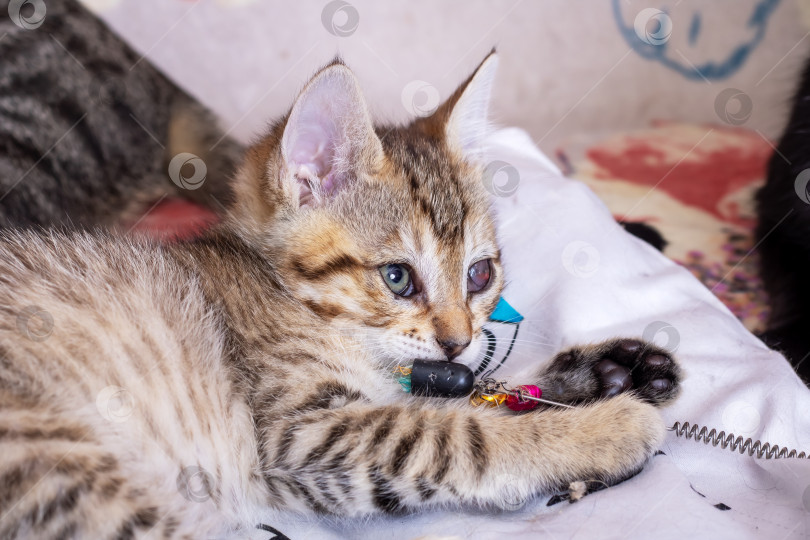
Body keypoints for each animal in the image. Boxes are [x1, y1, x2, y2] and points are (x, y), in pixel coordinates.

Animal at [0, 51, 680, 540]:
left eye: (480, 276)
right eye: (398, 278)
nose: (459, 341)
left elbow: (478, 396)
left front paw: (607, 372)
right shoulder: (300, 433)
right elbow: (458, 433)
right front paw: (604, 428)